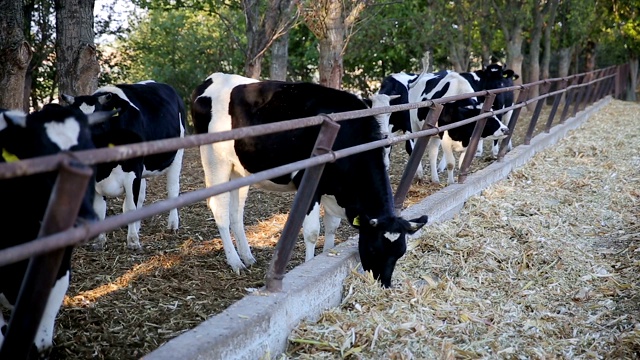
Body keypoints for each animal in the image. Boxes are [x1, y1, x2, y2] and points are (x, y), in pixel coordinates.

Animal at [62, 81, 186, 250]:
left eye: (100, 122)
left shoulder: (132, 172)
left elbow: (130, 207)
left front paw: (133, 241)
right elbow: (101, 210)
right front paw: (100, 241)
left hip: (177, 154)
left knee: (172, 190)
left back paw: (172, 225)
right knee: (140, 196)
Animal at [192, 73, 428, 286]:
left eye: (400, 252)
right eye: (373, 248)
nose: (384, 284)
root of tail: (211, 79)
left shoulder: (334, 189)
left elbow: (331, 227)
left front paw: (328, 253)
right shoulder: (309, 185)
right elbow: (313, 232)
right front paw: (309, 264)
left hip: (239, 171)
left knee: (236, 212)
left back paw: (247, 257)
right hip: (215, 162)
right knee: (220, 211)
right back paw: (235, 262)